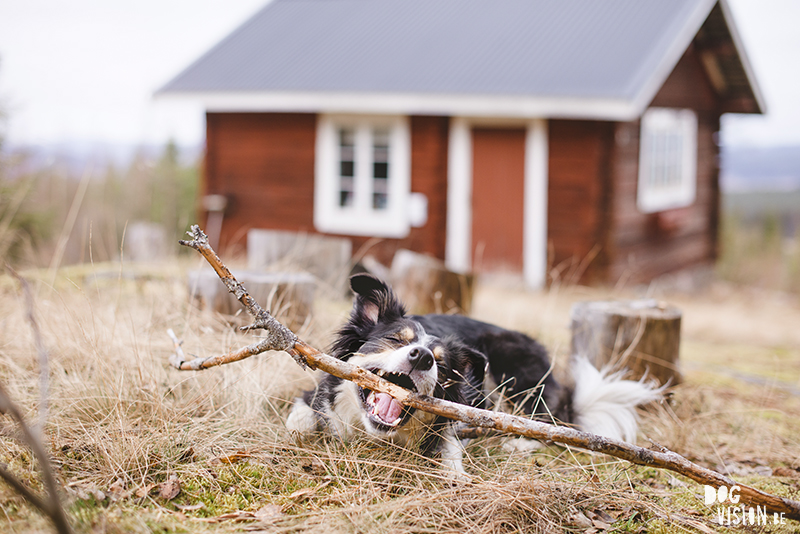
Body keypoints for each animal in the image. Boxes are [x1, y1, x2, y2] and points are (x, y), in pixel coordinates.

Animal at [288, 276, 664, 478]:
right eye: (396, 339)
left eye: (441, 364)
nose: (422, 357)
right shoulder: (312, 395)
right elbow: (299, 418)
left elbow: (450, 445)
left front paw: (454, 475)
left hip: (513, 373)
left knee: (547, 423)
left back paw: (516, 442)